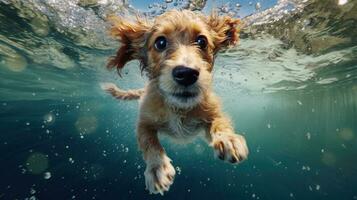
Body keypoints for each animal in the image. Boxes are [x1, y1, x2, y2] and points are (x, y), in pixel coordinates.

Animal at [101, 9, 248, 195]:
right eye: (160, 42)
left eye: (202, 41)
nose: (186, 74)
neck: (180, 108)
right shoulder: (144, 123)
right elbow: (149, 143)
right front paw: (157, 167)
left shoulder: (212, 113)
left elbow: (220, 123)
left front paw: (228, 139)